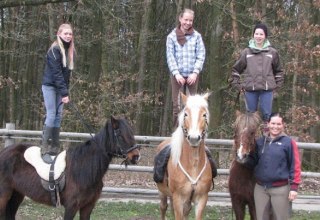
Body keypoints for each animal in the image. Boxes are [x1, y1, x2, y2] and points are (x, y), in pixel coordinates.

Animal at [0, 116, 140, 219]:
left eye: (132, 133)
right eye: (120, 135)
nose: (136, 156)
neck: (84, 168)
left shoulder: (88, 207)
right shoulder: (71, 207)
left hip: (17, 194)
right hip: (4, 196)